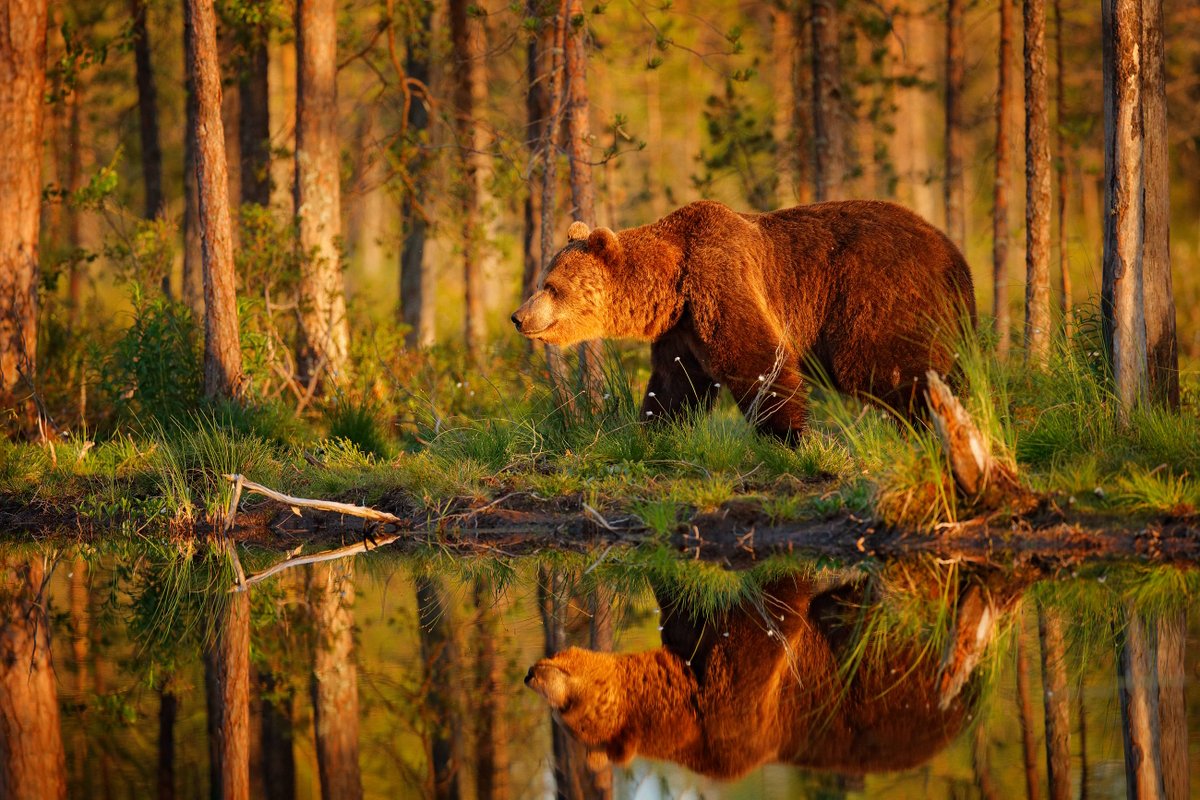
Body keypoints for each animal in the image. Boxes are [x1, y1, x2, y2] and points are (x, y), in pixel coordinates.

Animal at [513, 199, 974, 438]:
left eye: (551, 285)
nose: (518, 316)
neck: (671, 284)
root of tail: (954, 255)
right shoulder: (682, 329)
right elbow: (675, 383)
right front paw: (655, 430)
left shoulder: (721, 278)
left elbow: (758, 361)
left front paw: (788, 435)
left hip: (877, 292)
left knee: (891, 364)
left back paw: (929, 421)